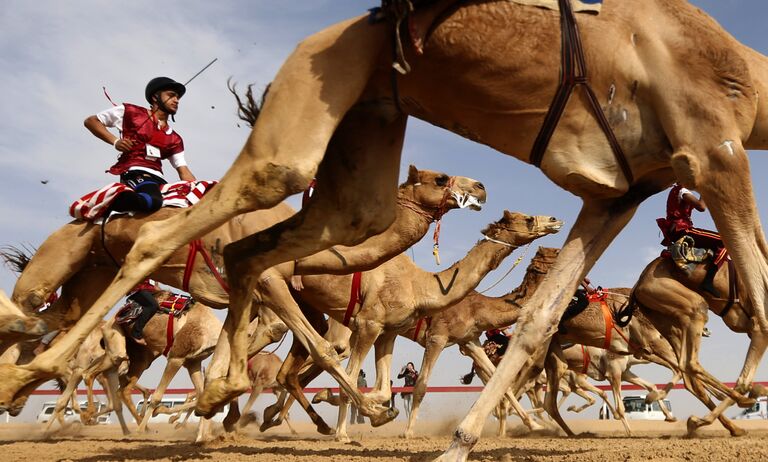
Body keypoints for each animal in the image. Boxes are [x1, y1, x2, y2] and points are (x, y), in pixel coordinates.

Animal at [1, 0, 768, 458]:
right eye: (441, 177)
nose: (482, 188)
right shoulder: (715, 149)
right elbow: (759, 291)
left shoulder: (615, 194)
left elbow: (532, 328)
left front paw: (458, 437)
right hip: (295, 133)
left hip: (359, 155)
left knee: (245, 272)